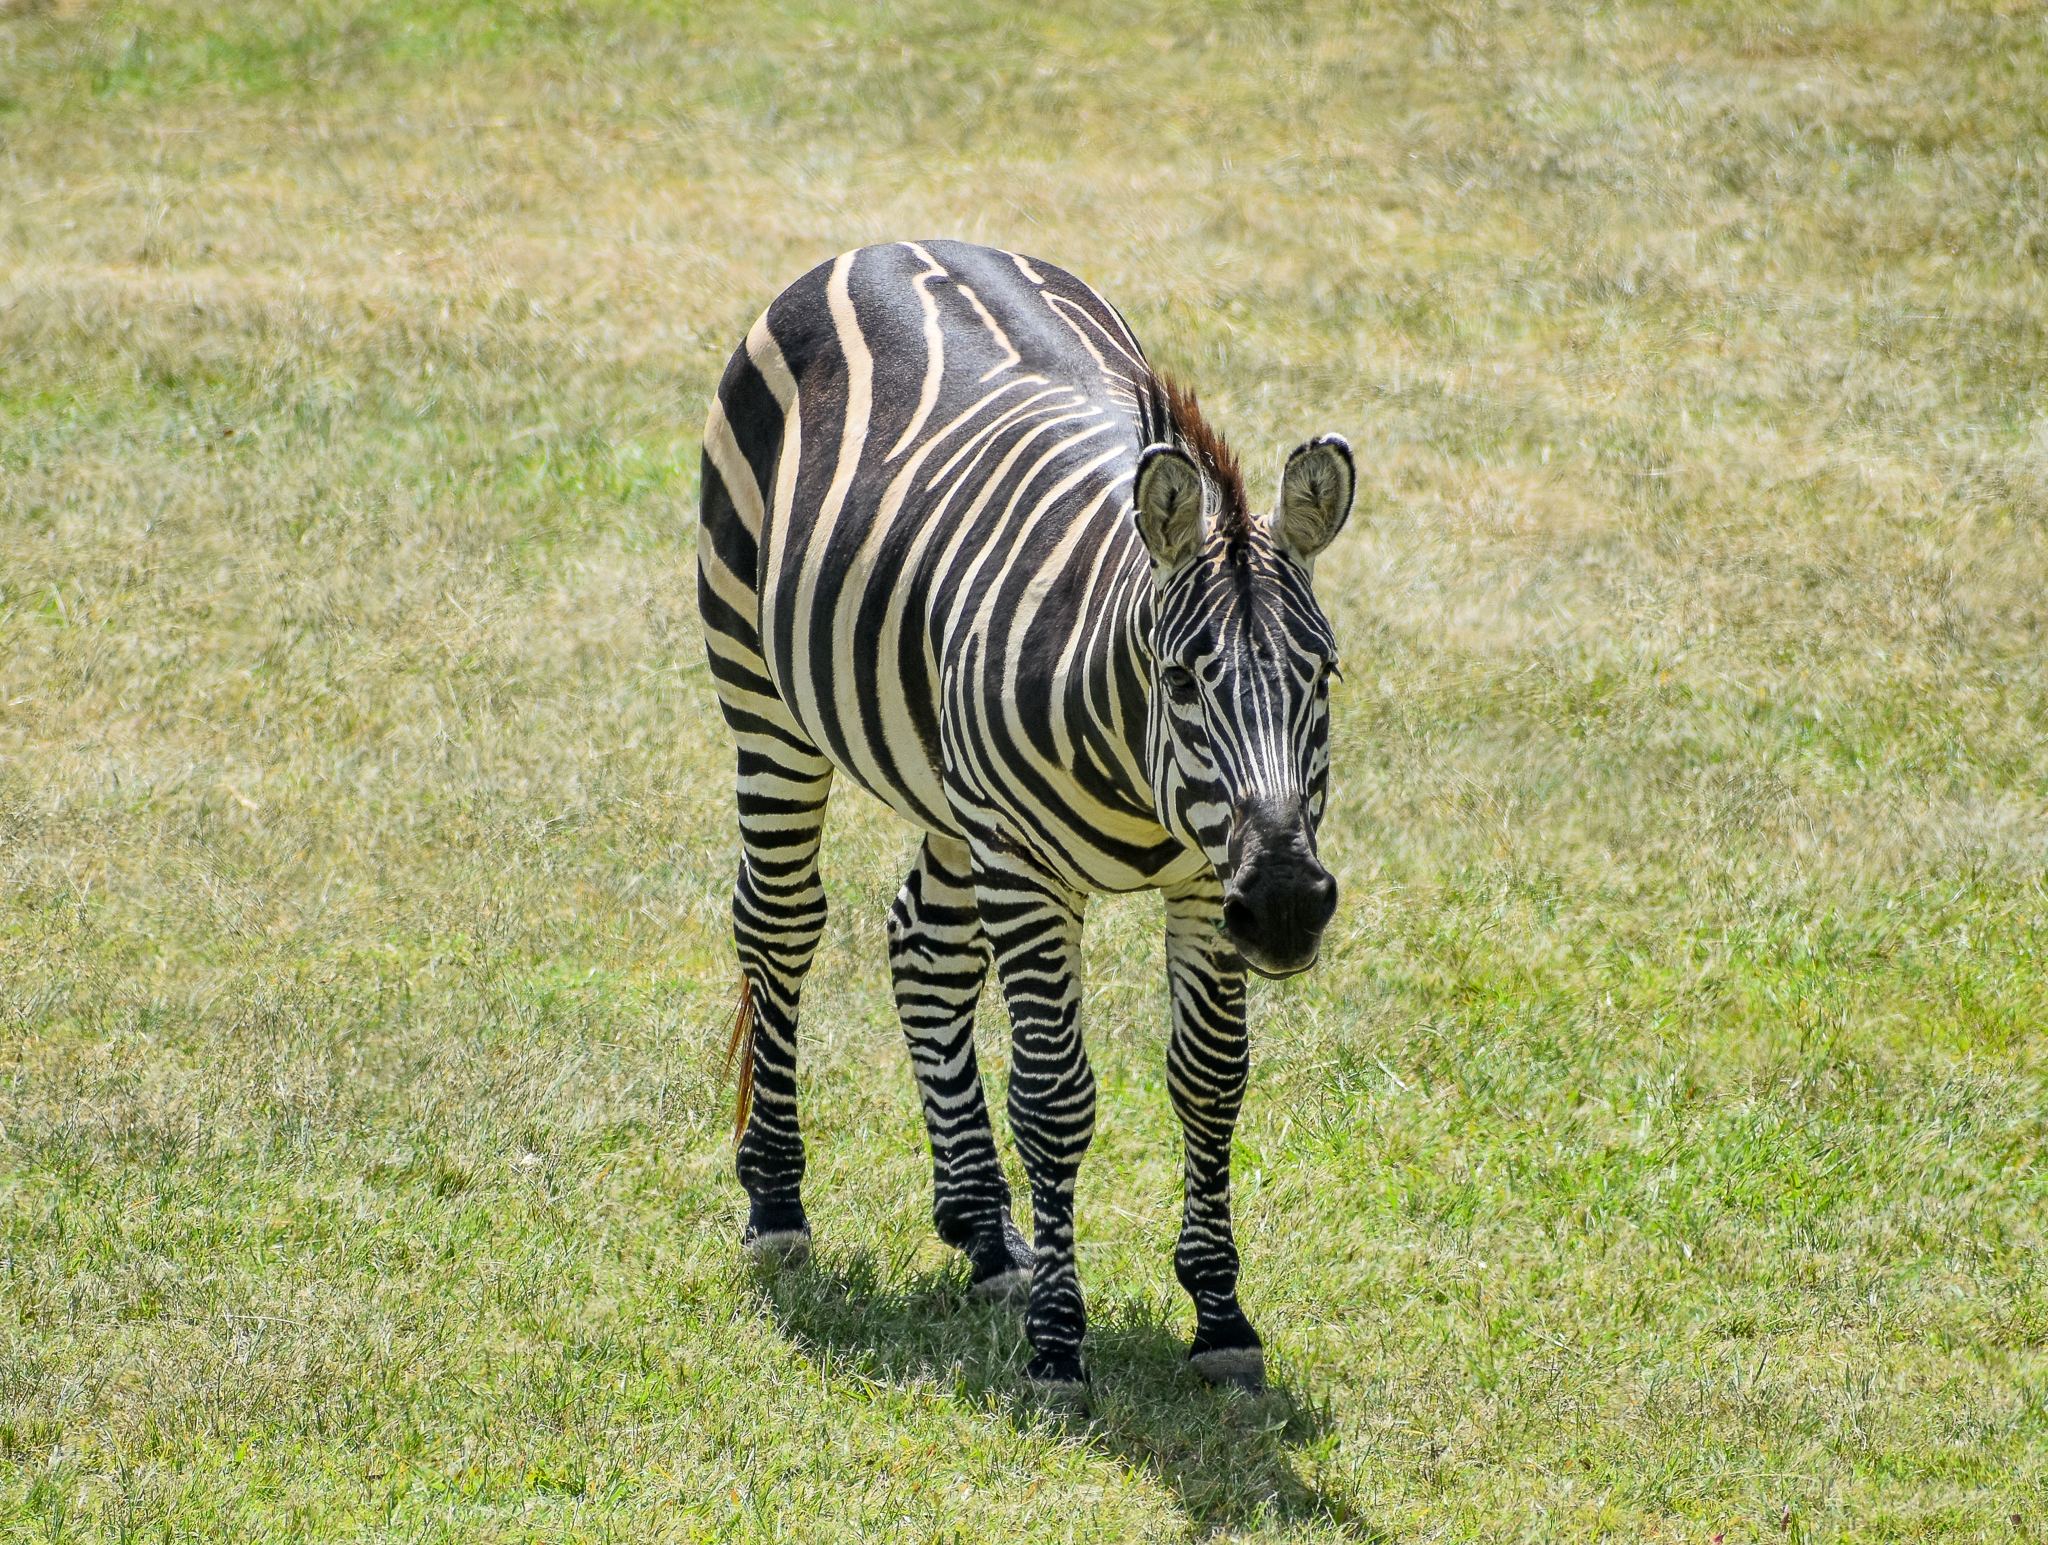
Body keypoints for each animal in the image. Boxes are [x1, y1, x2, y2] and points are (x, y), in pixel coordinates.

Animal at [697, 240, 1353, 1393]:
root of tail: (890, 240)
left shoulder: (1202, 881)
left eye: (1320, 678)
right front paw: (1057, 1342)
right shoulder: (1030, 872)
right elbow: (1053, 1098)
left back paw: (981, 1229)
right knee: (777, 926)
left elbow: (1209, 1082)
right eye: (1181, 680)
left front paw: (1220, 1318)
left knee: (922, 946)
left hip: (946, 783)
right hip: (766, 699)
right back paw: (777, 1200)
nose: (1282, 905)